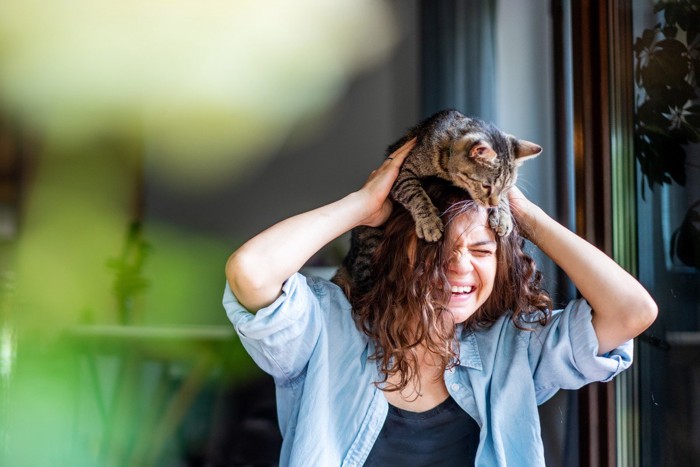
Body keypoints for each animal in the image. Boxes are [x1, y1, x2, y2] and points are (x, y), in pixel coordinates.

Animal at [332, 109, 540, 300]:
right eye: (486, 186)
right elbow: (416, 194)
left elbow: (505, 202)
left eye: (507, 187)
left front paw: (503, 216)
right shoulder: (401, 173)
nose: (492, 203)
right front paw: (429, 223)